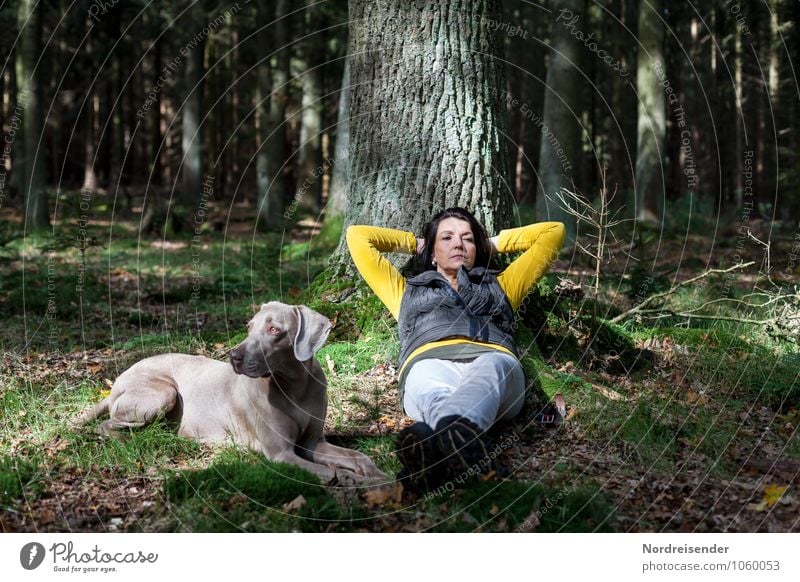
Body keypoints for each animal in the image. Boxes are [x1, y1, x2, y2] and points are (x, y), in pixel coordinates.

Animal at [72, 302, 388, 484]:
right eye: (249, 327)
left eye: (274, 330)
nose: (233, 356)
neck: (294, 386)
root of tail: (117, 380)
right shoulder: (281, 455)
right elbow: (335, 471)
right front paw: (363, 481)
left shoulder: (312, 443)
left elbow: (357, 457)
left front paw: (376, 472)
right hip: (164, 392)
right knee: (107, 426)